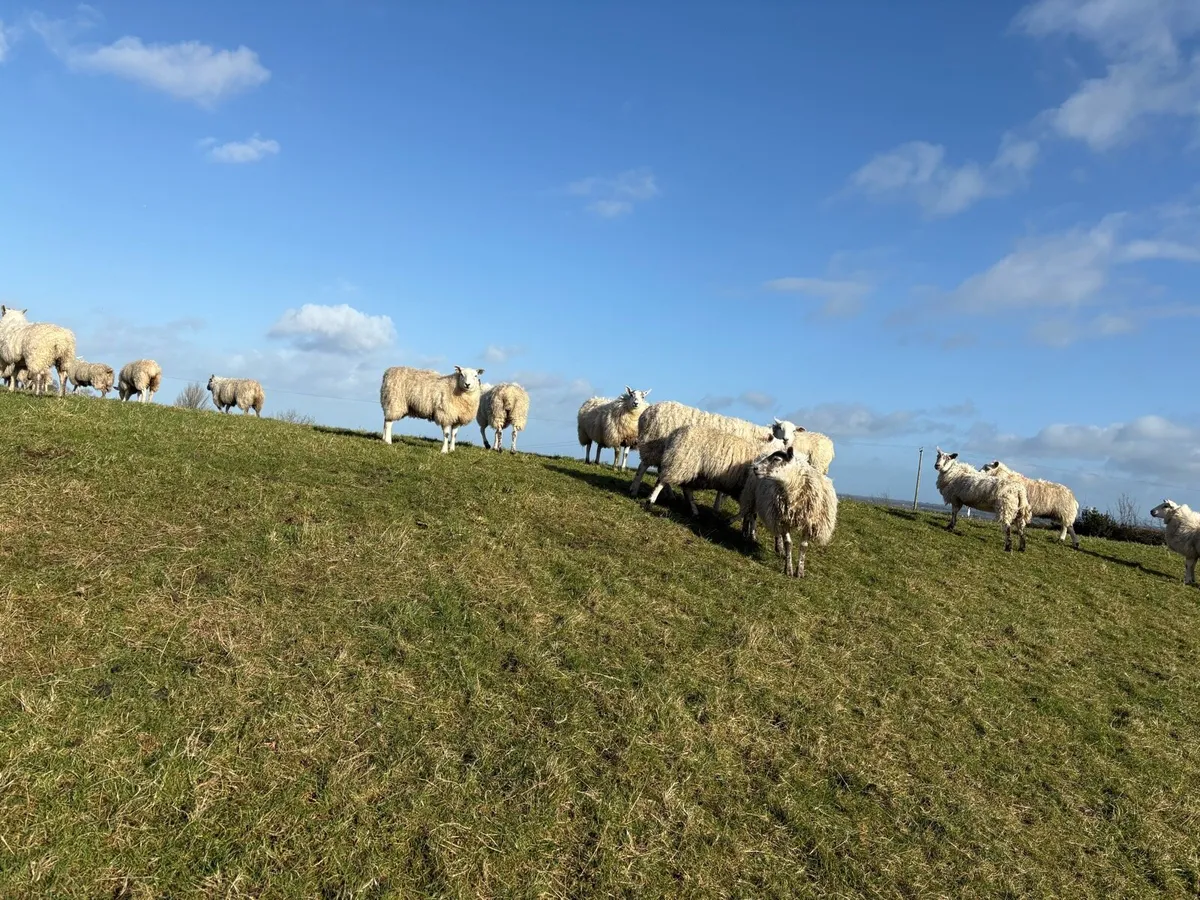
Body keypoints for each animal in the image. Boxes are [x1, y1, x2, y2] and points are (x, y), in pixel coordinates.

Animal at [628, 400, 802, 498]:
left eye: (793, 431)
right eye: (780, 429)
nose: (787, 442)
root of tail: (646, 412)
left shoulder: (729, 466)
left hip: (670, 453)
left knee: (661, 471)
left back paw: (668, 494)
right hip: (655, 447)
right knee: (643, 467)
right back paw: (634, 490)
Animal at [644, 425, 790, 516]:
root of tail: (674, 434)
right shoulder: (749, 488)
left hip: (690, 470)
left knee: (686, 489)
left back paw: (694, 511)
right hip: (680, 463)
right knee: (662, 480)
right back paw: (650, 501)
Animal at [737, 446, 838, 577]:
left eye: (776, 459)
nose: (755, 468)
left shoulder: (808, 522)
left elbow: (803, 546)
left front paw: (800, 572)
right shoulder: (784, 520)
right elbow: (788, 544)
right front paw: (788, 569)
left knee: (775, 530)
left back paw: (778, 548)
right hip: (753, 496)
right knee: (751, 515)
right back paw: (748, 535)